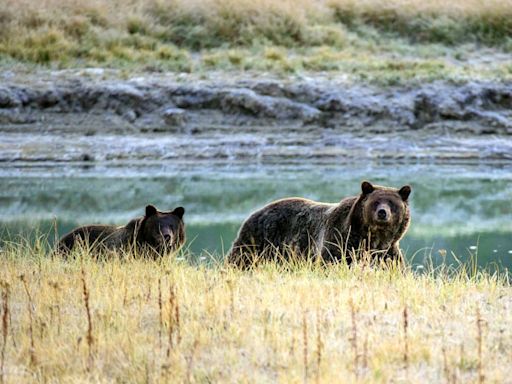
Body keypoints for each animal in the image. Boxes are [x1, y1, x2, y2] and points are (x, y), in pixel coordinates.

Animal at [228, 182, 412, 268]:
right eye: (376, 202)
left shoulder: (387, 252)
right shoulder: (339, 240)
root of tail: (255, 212)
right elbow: (331, 261)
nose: (382, 213)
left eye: (392, 203)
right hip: (259, 240)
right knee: (241, 259)